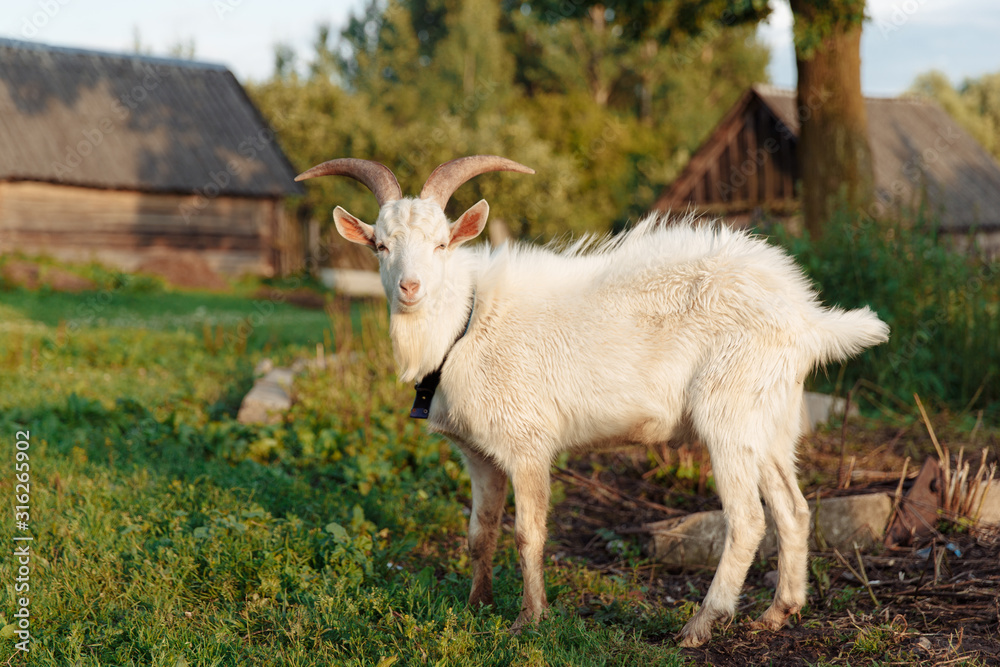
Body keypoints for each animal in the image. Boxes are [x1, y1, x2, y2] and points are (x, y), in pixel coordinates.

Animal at [296, 155, 890, 647]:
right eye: (380, 245)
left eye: (442, 243)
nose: (411, 288)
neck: (466, 324)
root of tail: (806, 318)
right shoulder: (478, 454)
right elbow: (479, 534)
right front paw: (475, 607)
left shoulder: (527, 444)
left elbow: (528, 534)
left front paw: (528, 620)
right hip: (769, 420)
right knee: (793, 507)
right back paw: (778, 613)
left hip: (728, 412)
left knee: (746, 519)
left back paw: (699, 626)